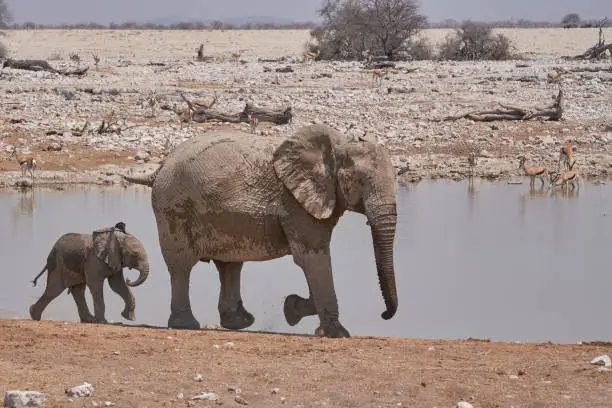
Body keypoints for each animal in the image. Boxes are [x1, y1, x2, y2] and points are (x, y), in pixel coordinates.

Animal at [126, 124, 400, 338]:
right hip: (173, 205)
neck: (337, 145)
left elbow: (313, 262)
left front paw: (291, 309)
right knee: (182, 265)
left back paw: (239, 322)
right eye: (359, 181)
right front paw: (337, 334)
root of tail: (160, 167)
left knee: (230, 264)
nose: (385, 314)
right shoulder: (295, 203)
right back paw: (186, 325)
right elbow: (312, 258)